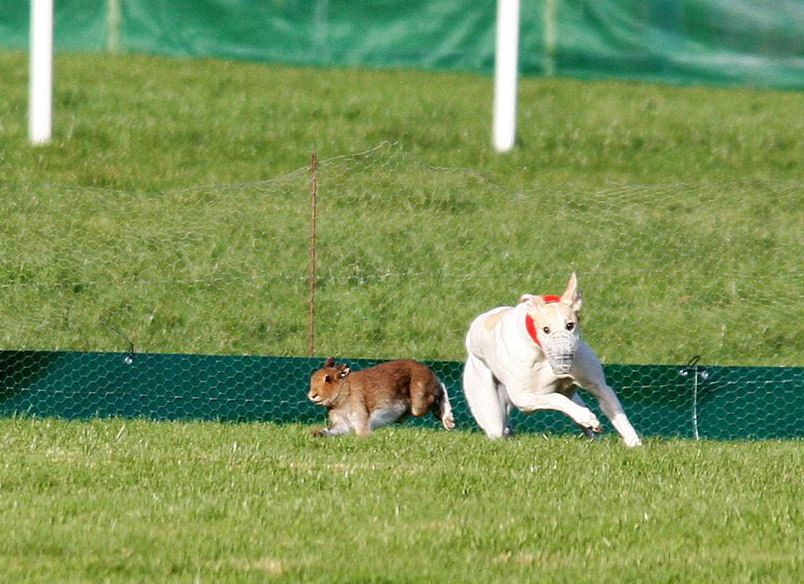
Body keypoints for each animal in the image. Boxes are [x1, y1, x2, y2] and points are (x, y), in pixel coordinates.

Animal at [308, 357, 455, 437]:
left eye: (327, 378)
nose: (312, 395)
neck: (344, 390)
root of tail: (427, 370)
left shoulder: (360, 416)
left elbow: (362, 431)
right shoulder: (342, 424)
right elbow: (334, 430)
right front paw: (317, 434)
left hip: (419, 403)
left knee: (439, 391)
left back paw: (449, 421)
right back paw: (450, 423)